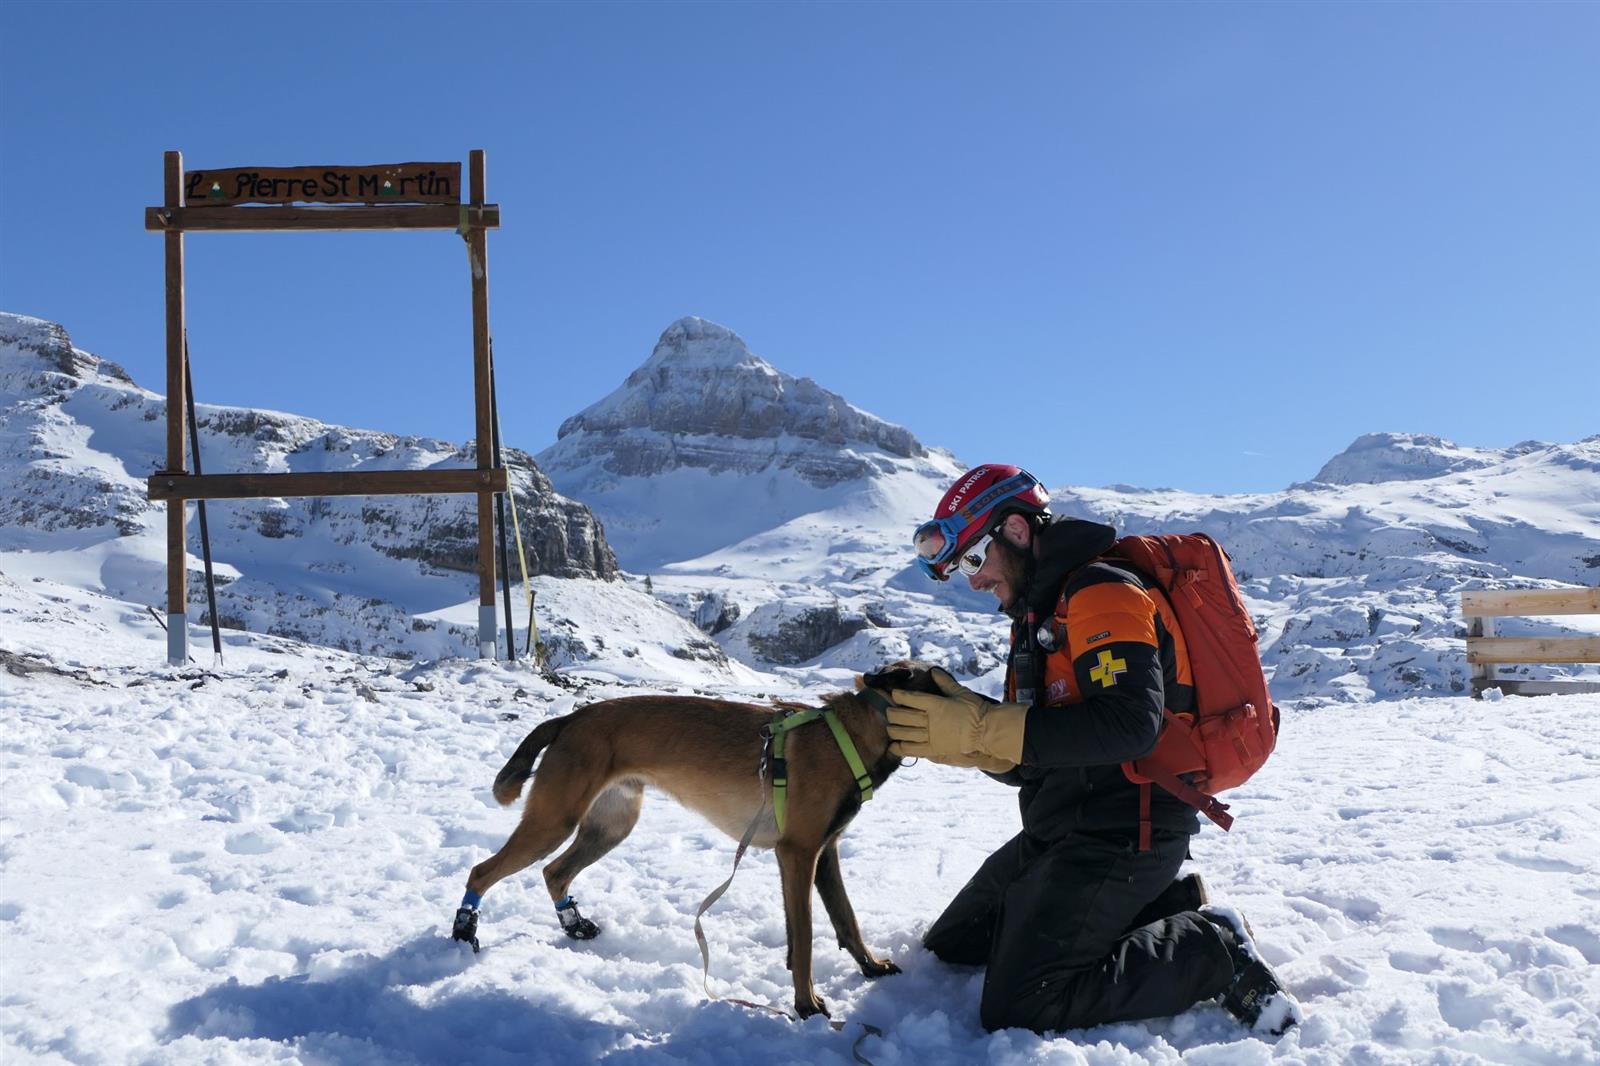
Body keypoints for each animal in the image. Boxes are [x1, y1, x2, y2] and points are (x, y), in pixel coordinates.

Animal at [451, 656, 934, 1011]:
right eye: (942, 683)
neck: (850, 736)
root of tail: (572, 718)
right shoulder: (798, 854)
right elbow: (807, 937)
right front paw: (807, 1004)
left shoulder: (823, 853)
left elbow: (844, 920)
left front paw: (870, 967)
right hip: (554, 822)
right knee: (483, 871)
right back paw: (463, 930)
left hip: (609, 827)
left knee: (554, 871)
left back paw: (574, 925)